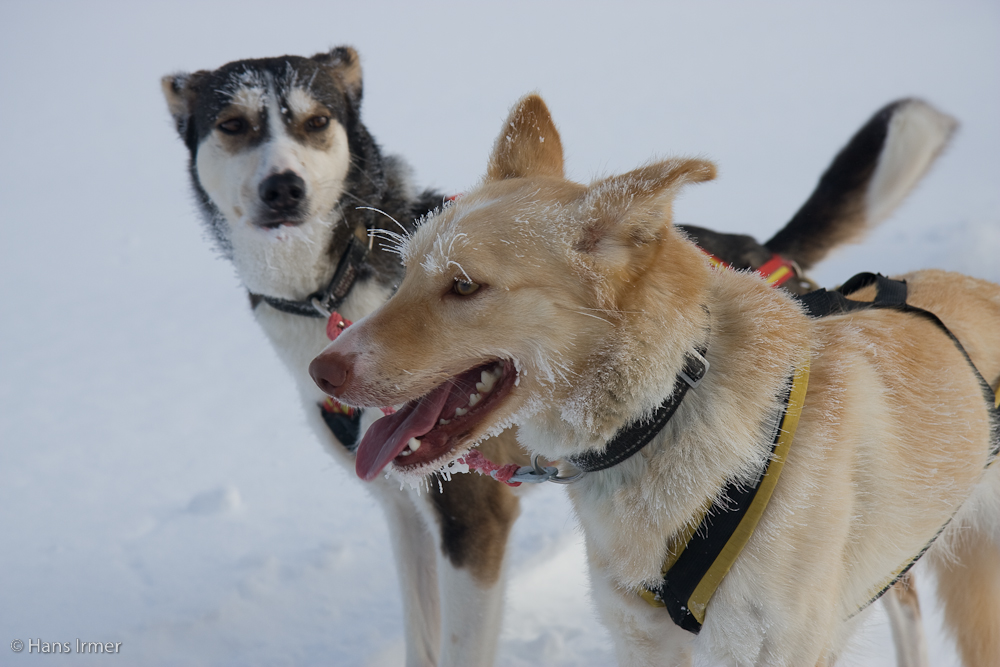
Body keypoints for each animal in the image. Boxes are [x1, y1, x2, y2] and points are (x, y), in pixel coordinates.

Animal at [312, 95, 1000, 667]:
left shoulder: (773, 648)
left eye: (463, 286)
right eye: (403, 272)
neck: (669, 409)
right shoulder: (641, 640)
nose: (325, 369)